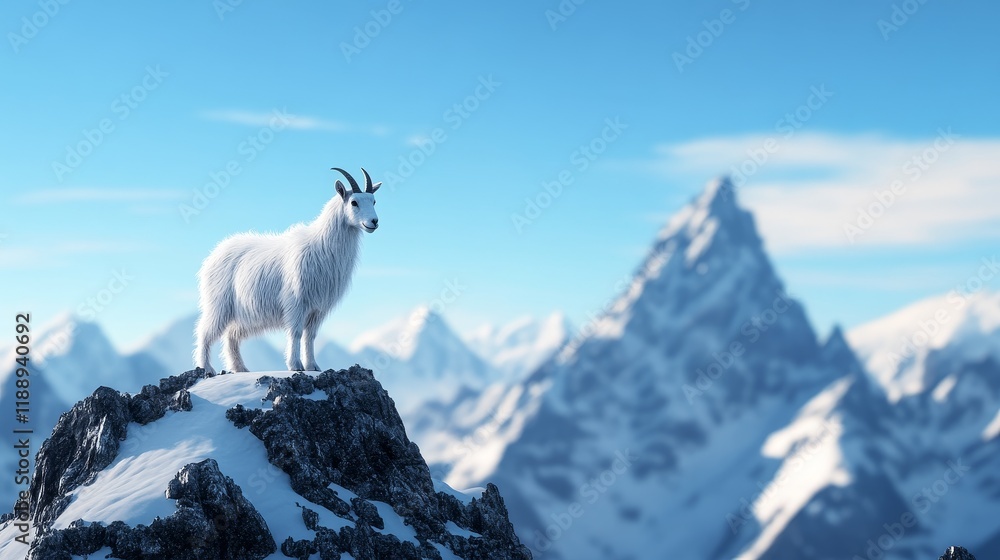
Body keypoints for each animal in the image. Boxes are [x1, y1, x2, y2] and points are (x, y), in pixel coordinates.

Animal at [193, 167, 381, 374]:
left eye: (373, 201)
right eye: (354, 202)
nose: (374, 222)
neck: (322, 244)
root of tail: (214, 254)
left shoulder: (317, 309)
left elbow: (310, 336)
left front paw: (313, 366)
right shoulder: (296, 302)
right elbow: (296, 333)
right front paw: (295, 365)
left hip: (243, 315)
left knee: (231, 336)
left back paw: (239, 368)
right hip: (218, 305)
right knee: (204, 332)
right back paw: (206, 368)